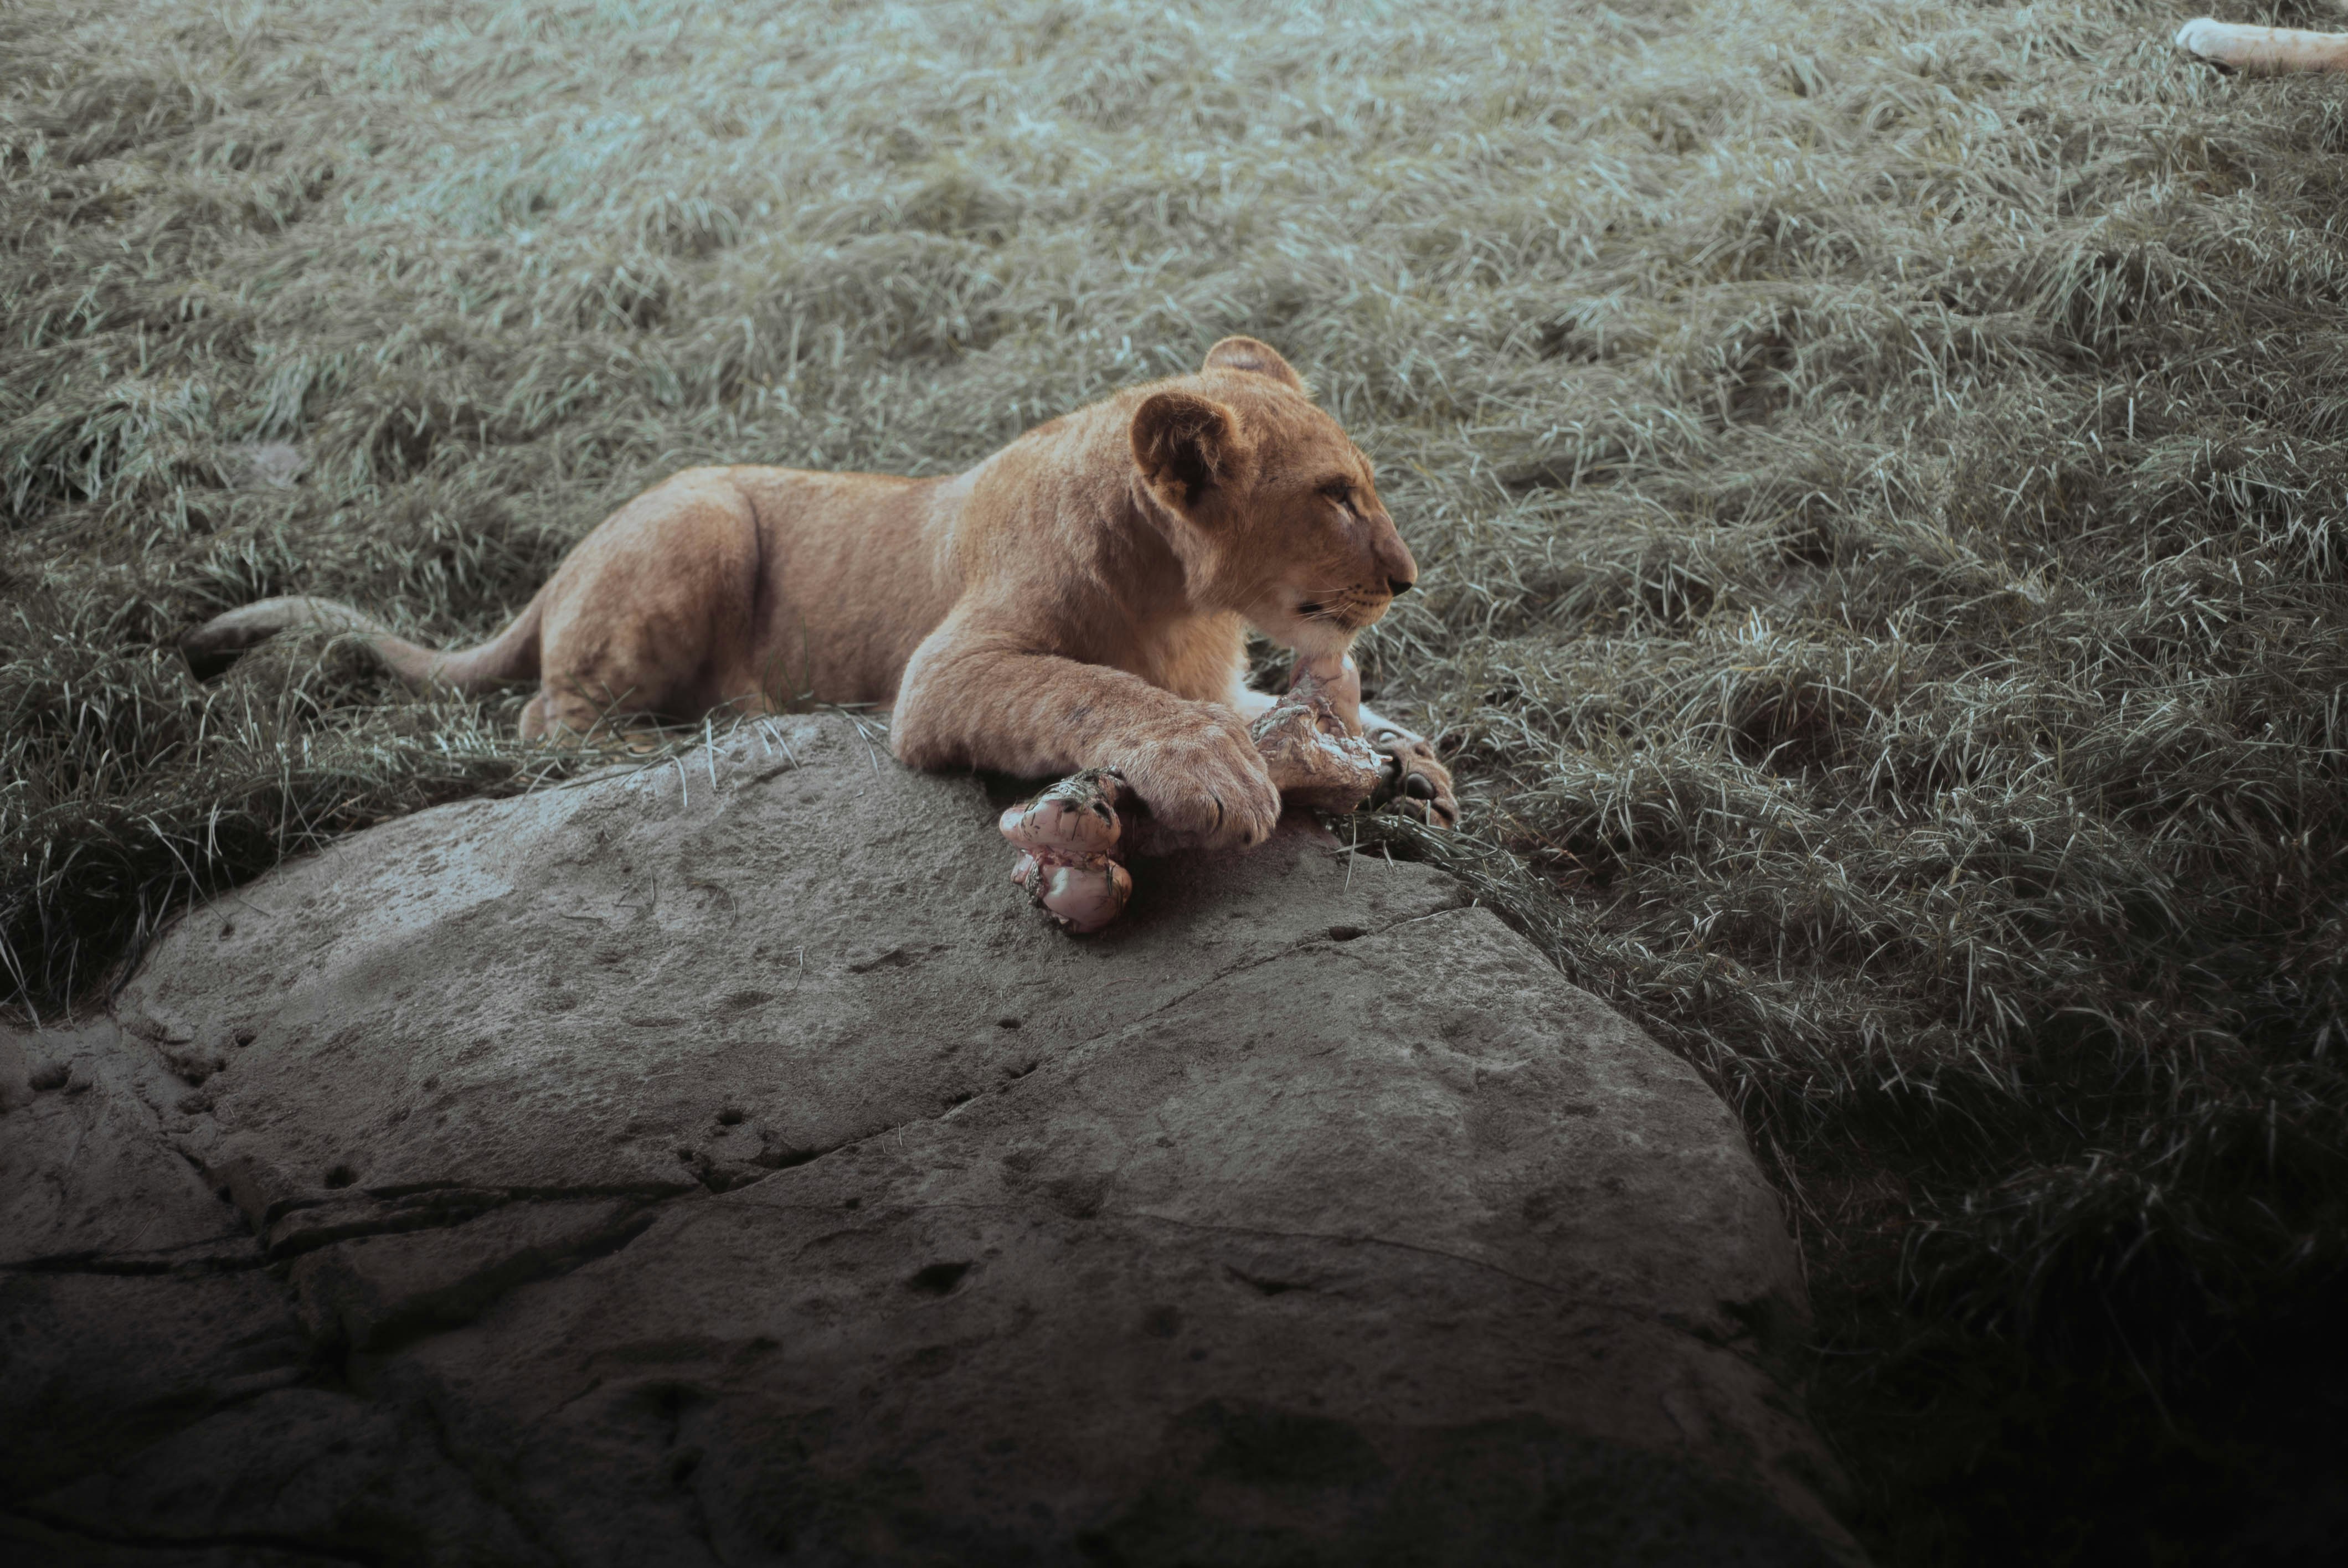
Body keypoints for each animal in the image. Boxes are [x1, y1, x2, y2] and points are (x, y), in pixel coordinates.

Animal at [183, 337, 1458, 851]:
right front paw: (1216, 772)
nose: (1408, 576)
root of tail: (562, 560)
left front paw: (1399, 755)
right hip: (700, 517)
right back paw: (681, 734)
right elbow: (1095, 692)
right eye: (1336, 496)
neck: (1187, 599)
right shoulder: (941, 673)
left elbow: (1262, 706)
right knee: (546, 716)